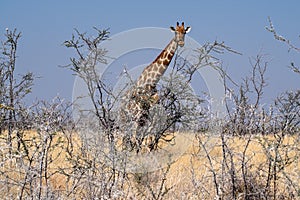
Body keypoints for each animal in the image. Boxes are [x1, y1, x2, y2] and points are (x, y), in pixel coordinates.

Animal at [120, 21, 191, 150]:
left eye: (184, 32)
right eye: (175, 32)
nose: (181, 43)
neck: (151, 82)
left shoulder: (150, 115)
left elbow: (147, 140)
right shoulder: (139, 115)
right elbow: (138, 140)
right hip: (126, 119)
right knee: (126, 138)